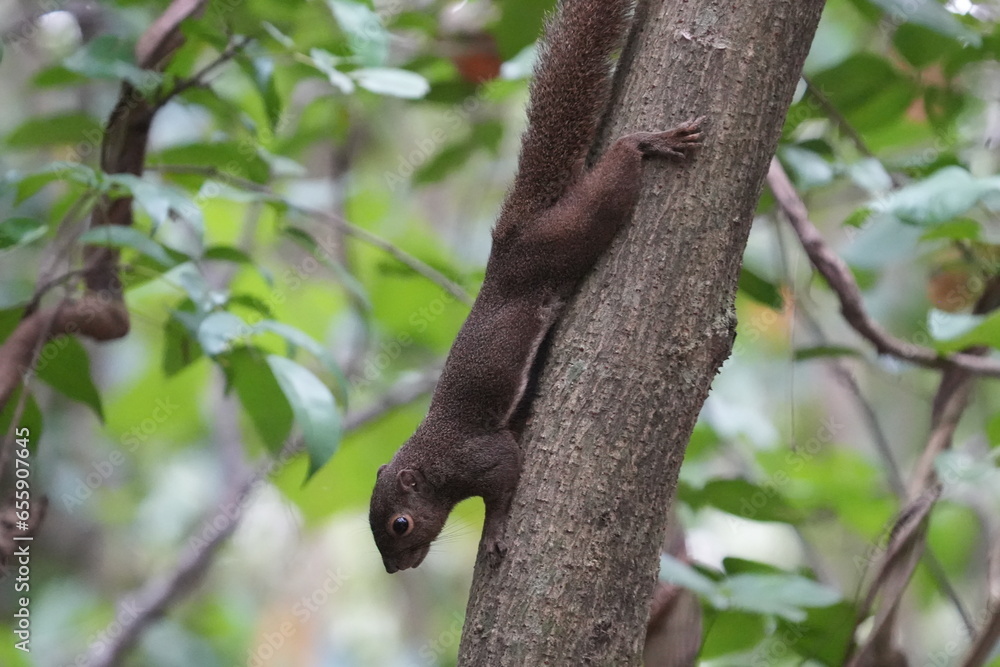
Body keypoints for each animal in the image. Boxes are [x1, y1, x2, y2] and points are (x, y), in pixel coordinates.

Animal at [370, 0, 704, 576]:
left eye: (400, 524)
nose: (396, 568)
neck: (431, 462)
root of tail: (510, 238)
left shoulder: (480, 457)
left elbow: (504, 483)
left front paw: (495, 532)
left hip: (563, 239)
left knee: (616, 170)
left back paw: (648, 141)